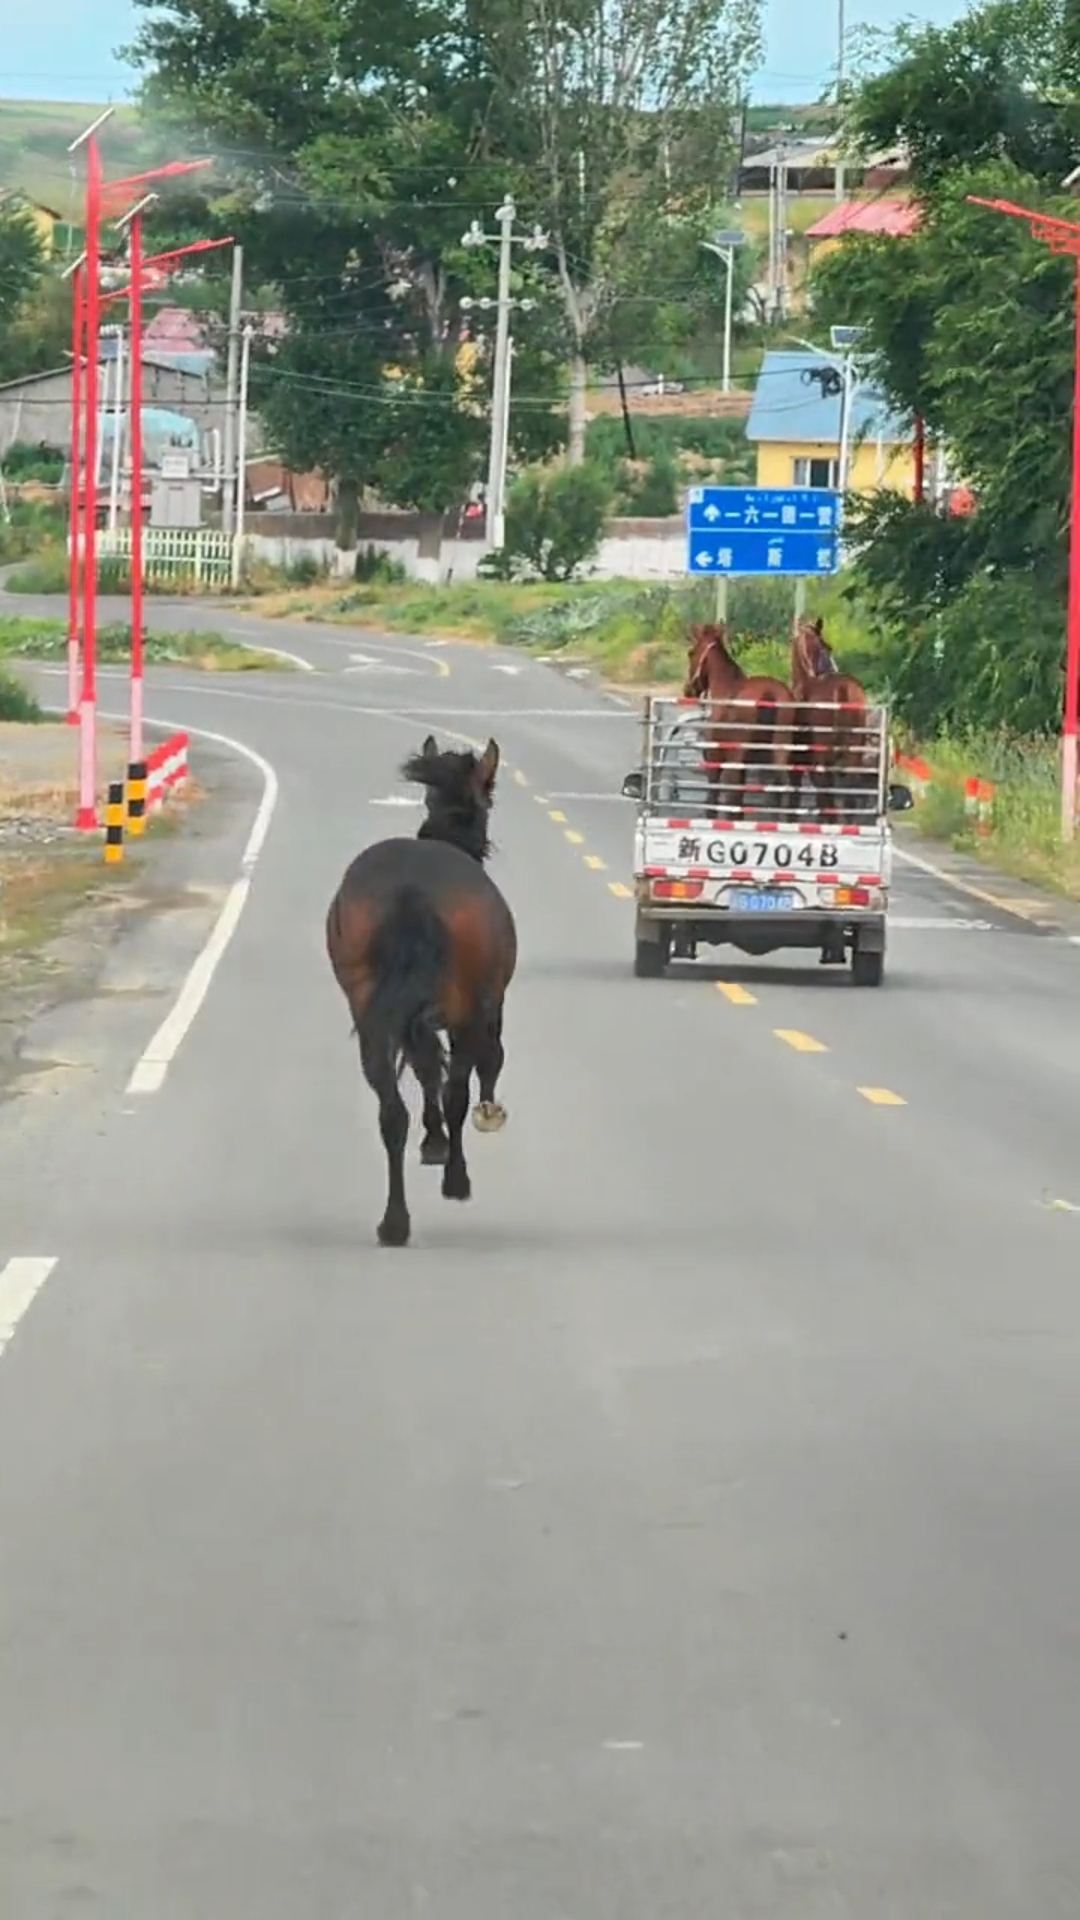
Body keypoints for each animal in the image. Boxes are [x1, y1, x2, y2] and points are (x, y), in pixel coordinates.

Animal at [322, 733, 511, 1244]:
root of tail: (411, 890)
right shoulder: (484, 1008)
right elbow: (479, 1066)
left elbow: (426, 1069)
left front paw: (432, 1141)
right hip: (466, 1011)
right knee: (457, 1092)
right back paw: (455, 1181)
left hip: (367, 1006)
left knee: (391, 1110)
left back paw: (394, 1220)